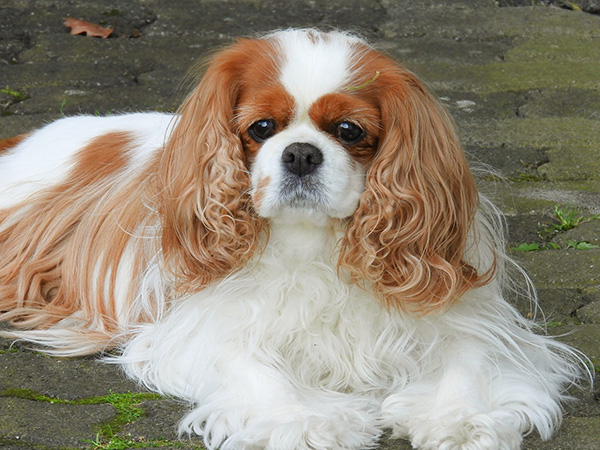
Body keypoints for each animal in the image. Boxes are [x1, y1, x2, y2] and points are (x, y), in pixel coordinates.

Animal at [0, 29, 588, 450]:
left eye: (349, 131)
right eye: (261, 127)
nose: (301, 153)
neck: (316, 243)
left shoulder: (463, 318)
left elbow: (469, 362)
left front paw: (461, 419)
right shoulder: (200, 327)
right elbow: (255, 368)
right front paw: (306, 420)